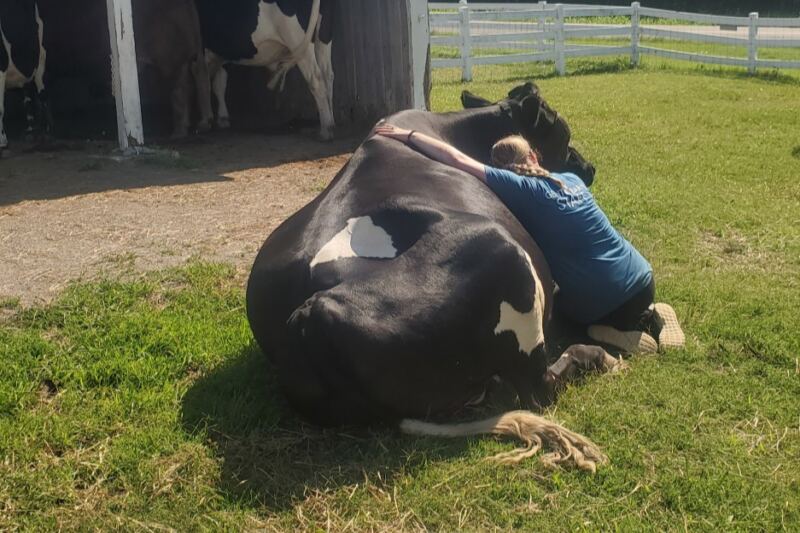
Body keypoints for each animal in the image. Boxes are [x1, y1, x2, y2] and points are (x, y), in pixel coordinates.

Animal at [0, 0, 48, 150]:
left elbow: (0, 109)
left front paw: (2, 141)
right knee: (28, 97)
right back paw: (30, 130)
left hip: (40, 60)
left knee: (42, 94)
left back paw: (46, 130)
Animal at [194, 0, 336, 140]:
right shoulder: (221, 53)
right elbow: (219, 84)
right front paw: (222, 118)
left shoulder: (200, 48)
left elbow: (202, 80)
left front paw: (205, 121)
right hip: (323, 35)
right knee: (328, 75)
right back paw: (331, 122)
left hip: (296, 36)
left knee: (316, 78)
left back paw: (326, 130)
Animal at [245, 83, 614, 472]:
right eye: (563, 134)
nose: (589, 167)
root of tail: (303, 320)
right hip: (502, 252)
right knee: (538, 388)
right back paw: (595, 356)